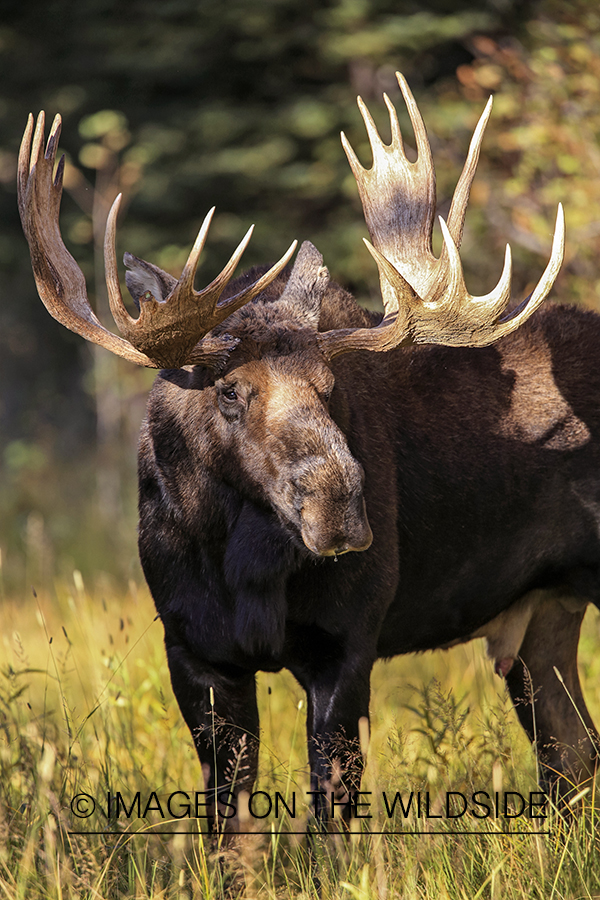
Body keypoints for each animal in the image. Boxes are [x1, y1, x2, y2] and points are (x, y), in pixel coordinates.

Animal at [19, 73, 599, 831]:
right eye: (230, 391)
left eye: (332, 387)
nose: (340, 507)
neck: (246, 568)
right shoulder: (195, 651)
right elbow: (228, 819)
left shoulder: (345, 645)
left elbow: (329, 818)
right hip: (545, 617)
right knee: (572, 755)